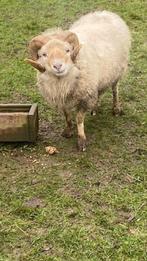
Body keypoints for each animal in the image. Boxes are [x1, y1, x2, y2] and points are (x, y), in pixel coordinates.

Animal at [26, 10, 131, 150]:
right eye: (44, 54)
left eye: (67, 50)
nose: (58, 66)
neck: (63, 81)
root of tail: (105, 12)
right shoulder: (63, 98)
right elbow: (67, 115)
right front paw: (68, 131)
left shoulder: (84, 97)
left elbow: (79, 119)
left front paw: (81, 140)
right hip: (100, 78)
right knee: (100, 91)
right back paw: (95, 108)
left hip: (117, 71)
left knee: (115, 90)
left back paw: (116, 109)